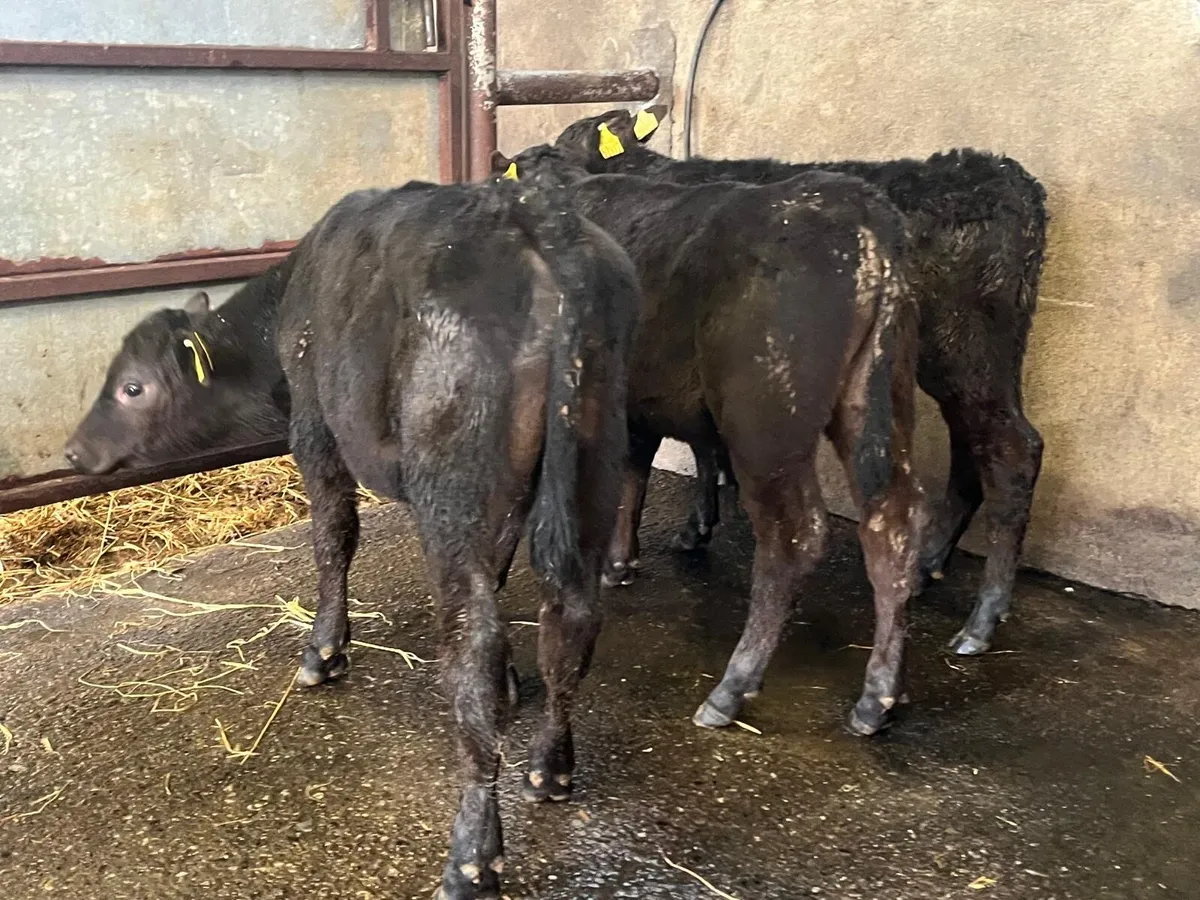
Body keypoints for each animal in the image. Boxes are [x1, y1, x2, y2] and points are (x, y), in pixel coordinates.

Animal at [66, 179, 641, 900]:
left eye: (132, 387)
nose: (74, 450)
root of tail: (536, 225)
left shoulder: (314, 427)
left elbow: (334, 537)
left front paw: (324, 650)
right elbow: (501, 571)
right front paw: (515, 687)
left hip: (449, 482)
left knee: (474, 644)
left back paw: (472, 855)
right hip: (593, 460)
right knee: (571, 617)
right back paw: (551, 767)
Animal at [493, 145, 925, 739]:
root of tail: (859, 208)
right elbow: (635, 471)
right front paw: (620, 561)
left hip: (765, 426)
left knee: (794, 537)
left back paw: (732, 688)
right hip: (880, 402)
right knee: (892, 522)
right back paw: (879, 696)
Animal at [552, 106, 1049, 657]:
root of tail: (1003, 174)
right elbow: (706, 446)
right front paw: (698, 525)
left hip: (967, 349)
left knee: (1013, 451)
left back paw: (981, 622)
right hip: (974, 364)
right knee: (974, 449)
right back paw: (927, 567)